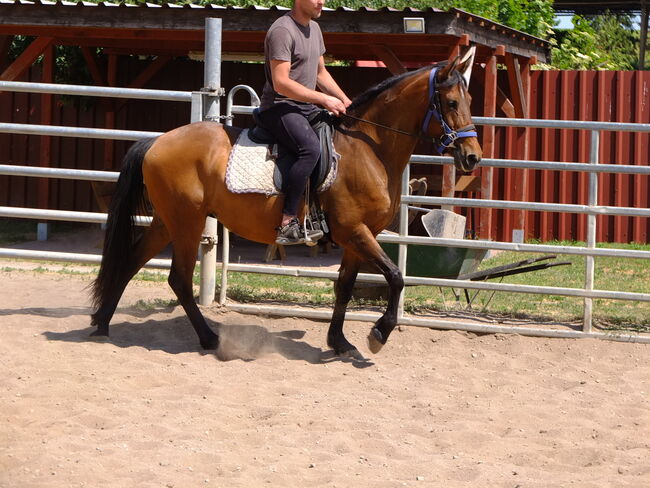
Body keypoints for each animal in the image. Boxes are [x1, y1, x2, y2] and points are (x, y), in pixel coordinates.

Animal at [88, 52, 478, 358]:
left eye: (468, 101)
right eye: (452, 103)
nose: (472, 156)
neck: (368, 148)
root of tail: (156, 142)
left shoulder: (358, 237)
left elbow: (345, 287)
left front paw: (339, 343)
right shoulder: (355, 231)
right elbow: (396, 276)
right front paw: (378, 334)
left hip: (167, 221)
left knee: (131, 262)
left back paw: (102, 325)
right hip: (186, 223)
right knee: (179, 279)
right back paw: (209, 338)